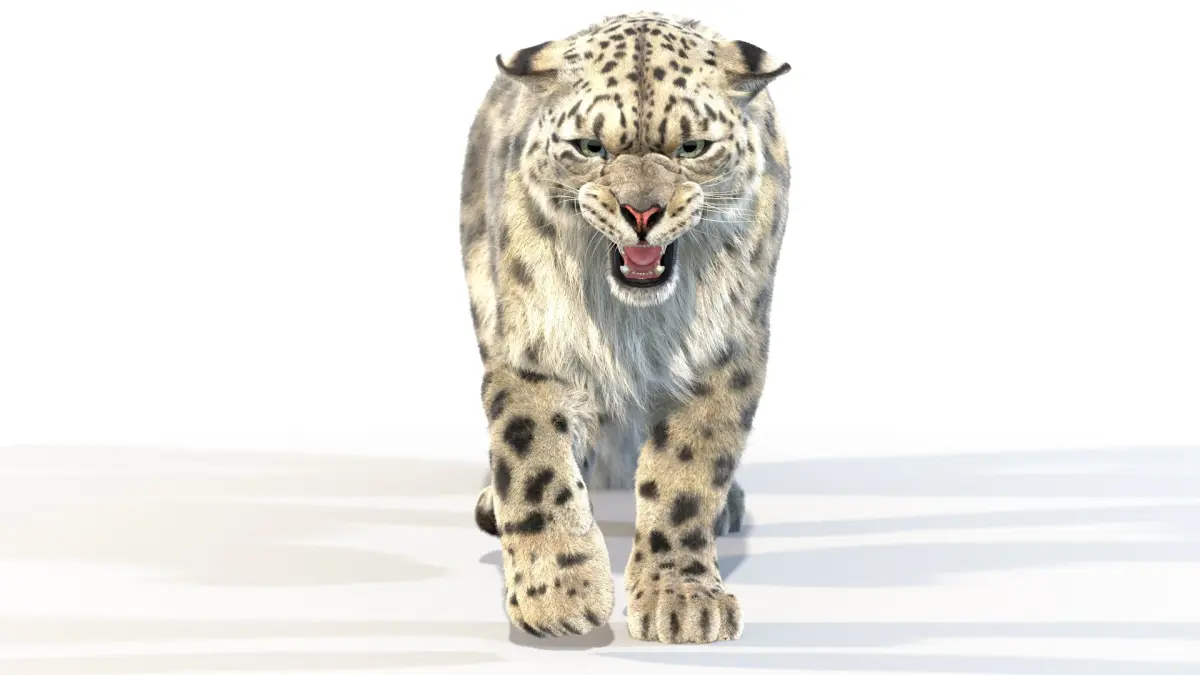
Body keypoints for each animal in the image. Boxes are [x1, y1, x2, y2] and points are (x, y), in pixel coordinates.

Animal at [459, 11, 790, 644]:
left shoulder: (723, 355)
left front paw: (681, 602)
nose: (641, 213)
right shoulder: (533, 350)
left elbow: (686, 476)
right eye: (591, 147)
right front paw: (559, 597)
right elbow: (535, 465)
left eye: (692, 147)